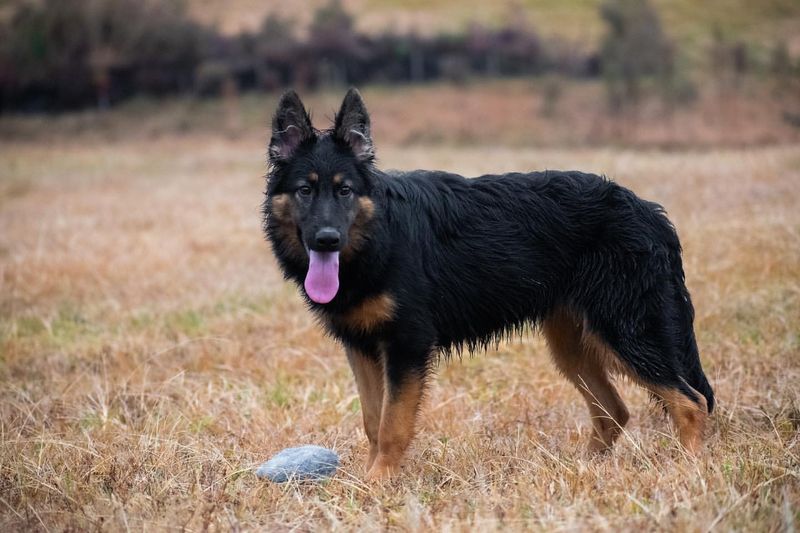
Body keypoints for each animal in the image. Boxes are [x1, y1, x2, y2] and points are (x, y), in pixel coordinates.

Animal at [262, 87, 712, 478]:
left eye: (345, 191)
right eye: (304, 190)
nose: (327, 240)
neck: (378, 235)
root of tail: (650, 212)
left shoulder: (406, 346)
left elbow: (392, 425)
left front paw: (379, 483)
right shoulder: (362, 348)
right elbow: (374, 421)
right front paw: (369, 479)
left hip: (626, 333)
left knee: (691, 402)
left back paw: (687, 471)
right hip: (576, 347)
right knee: (614, 412)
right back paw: (585, 470)